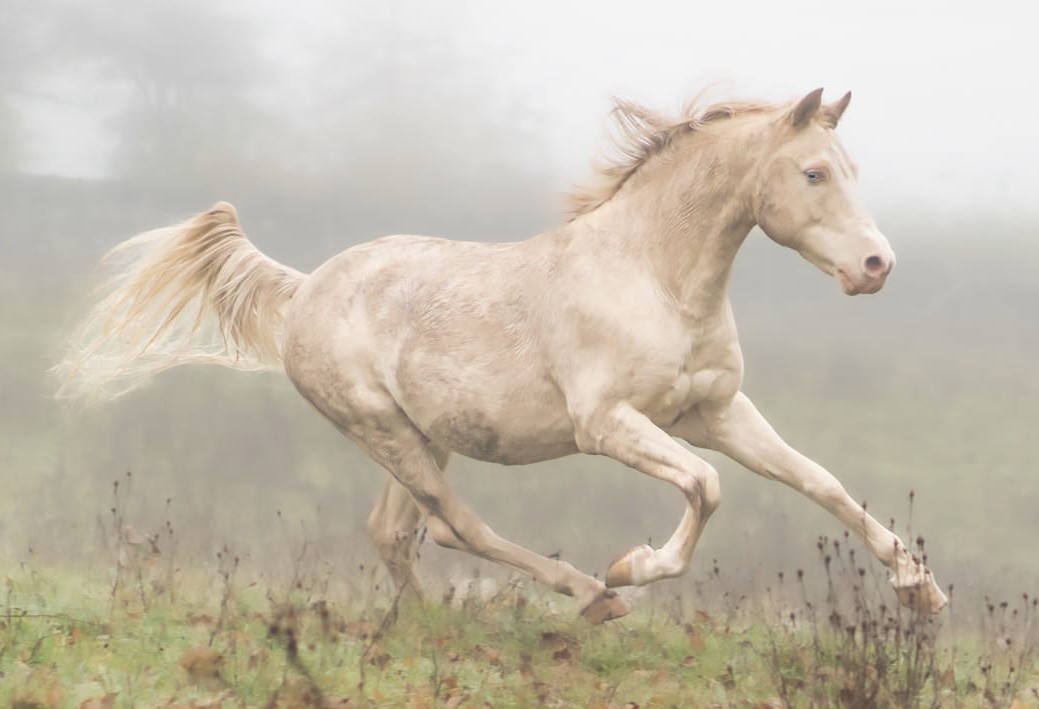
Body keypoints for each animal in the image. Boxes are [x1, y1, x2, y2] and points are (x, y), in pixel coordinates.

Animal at [56, 88, 947, 623]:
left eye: (852, 168)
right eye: (813, 173)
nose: (876, 266)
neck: (652, 275)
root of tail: (305, 289)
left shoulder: (715, 411)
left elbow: (819, 482)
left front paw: (919, 586)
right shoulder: (610, 425)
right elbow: (706, 487)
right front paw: (632, 566)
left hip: (424, 433)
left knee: (397, 532)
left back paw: (427, 626)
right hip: (382, 429)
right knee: (454, 524)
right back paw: (590, 594)